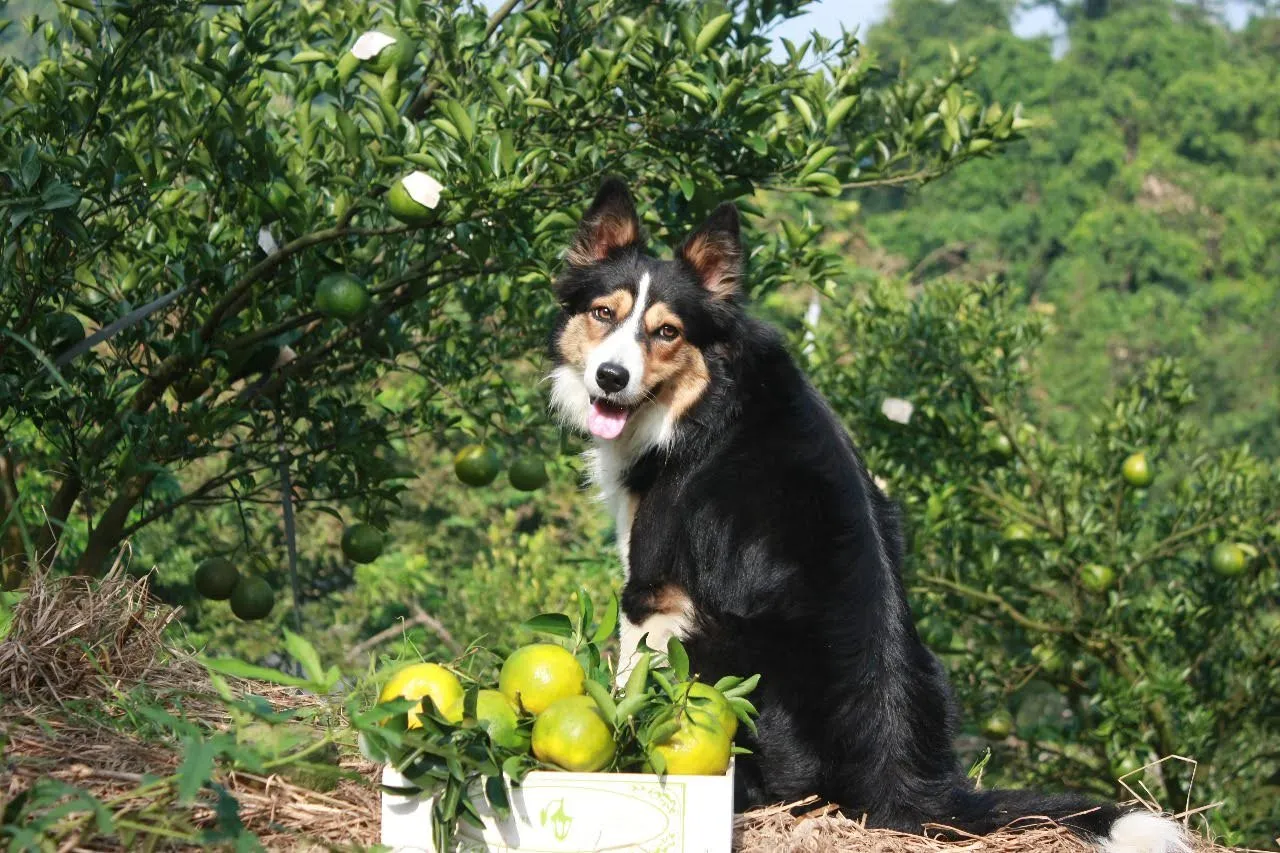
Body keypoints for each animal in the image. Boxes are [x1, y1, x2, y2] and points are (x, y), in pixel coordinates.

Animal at [547, 175, 1187, 845]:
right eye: (603, 314)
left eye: (667, 332)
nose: (611, 377)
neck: (705, 397)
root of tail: (900, 777)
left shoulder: (652, 587)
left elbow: (629, 684)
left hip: (719, 648)